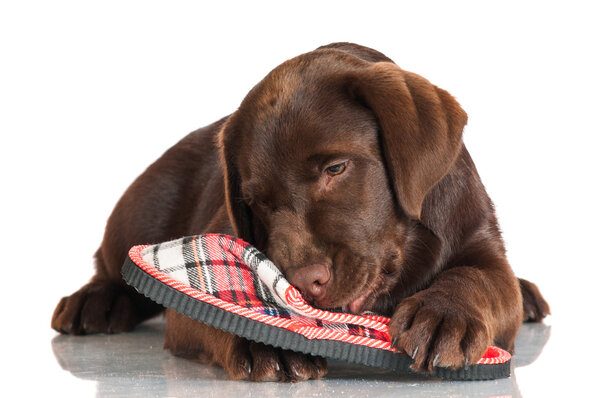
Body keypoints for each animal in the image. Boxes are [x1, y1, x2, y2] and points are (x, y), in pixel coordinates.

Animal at [51, 43, 548, 382]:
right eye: (254, 202)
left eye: (336, 168)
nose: (302, 283)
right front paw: (264, 337)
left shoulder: (478, 240)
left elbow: (481, 280)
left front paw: (445, 313)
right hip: (144, 205)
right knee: (111, 267)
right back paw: (94, 301)